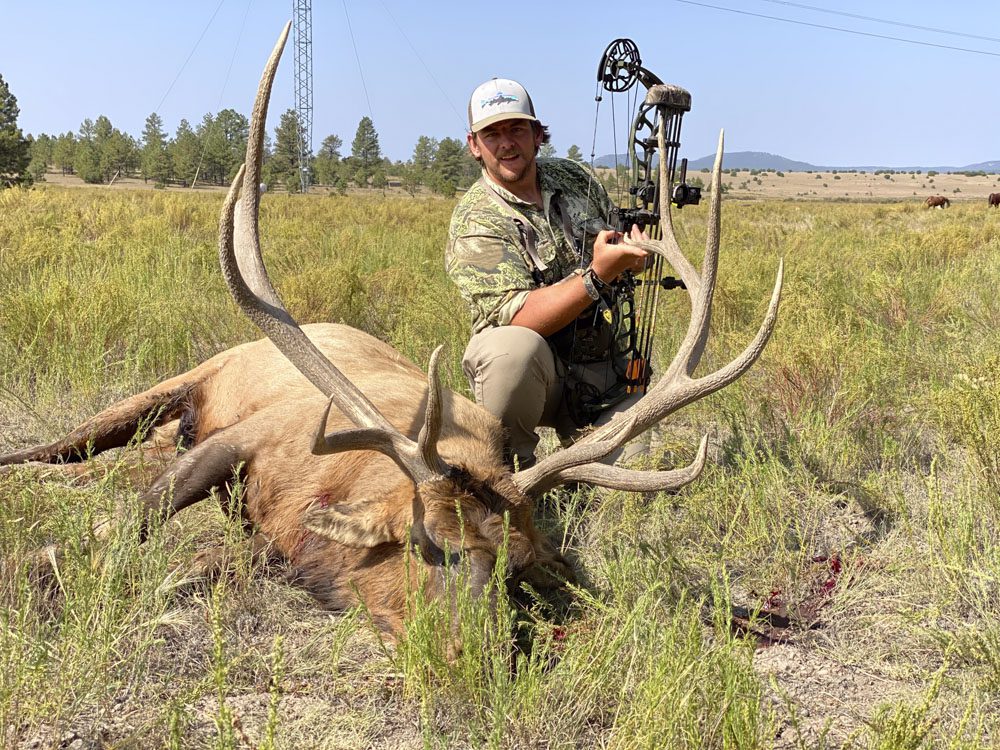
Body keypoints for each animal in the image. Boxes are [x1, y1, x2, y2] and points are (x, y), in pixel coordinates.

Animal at [0, 23, 783, 639]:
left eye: (516, 571)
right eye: (425, 541)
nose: (472, 655)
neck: (322, 488)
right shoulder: (243, 437)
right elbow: (130, 521)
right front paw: (48, 574)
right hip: (182, 382)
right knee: (67, 445)